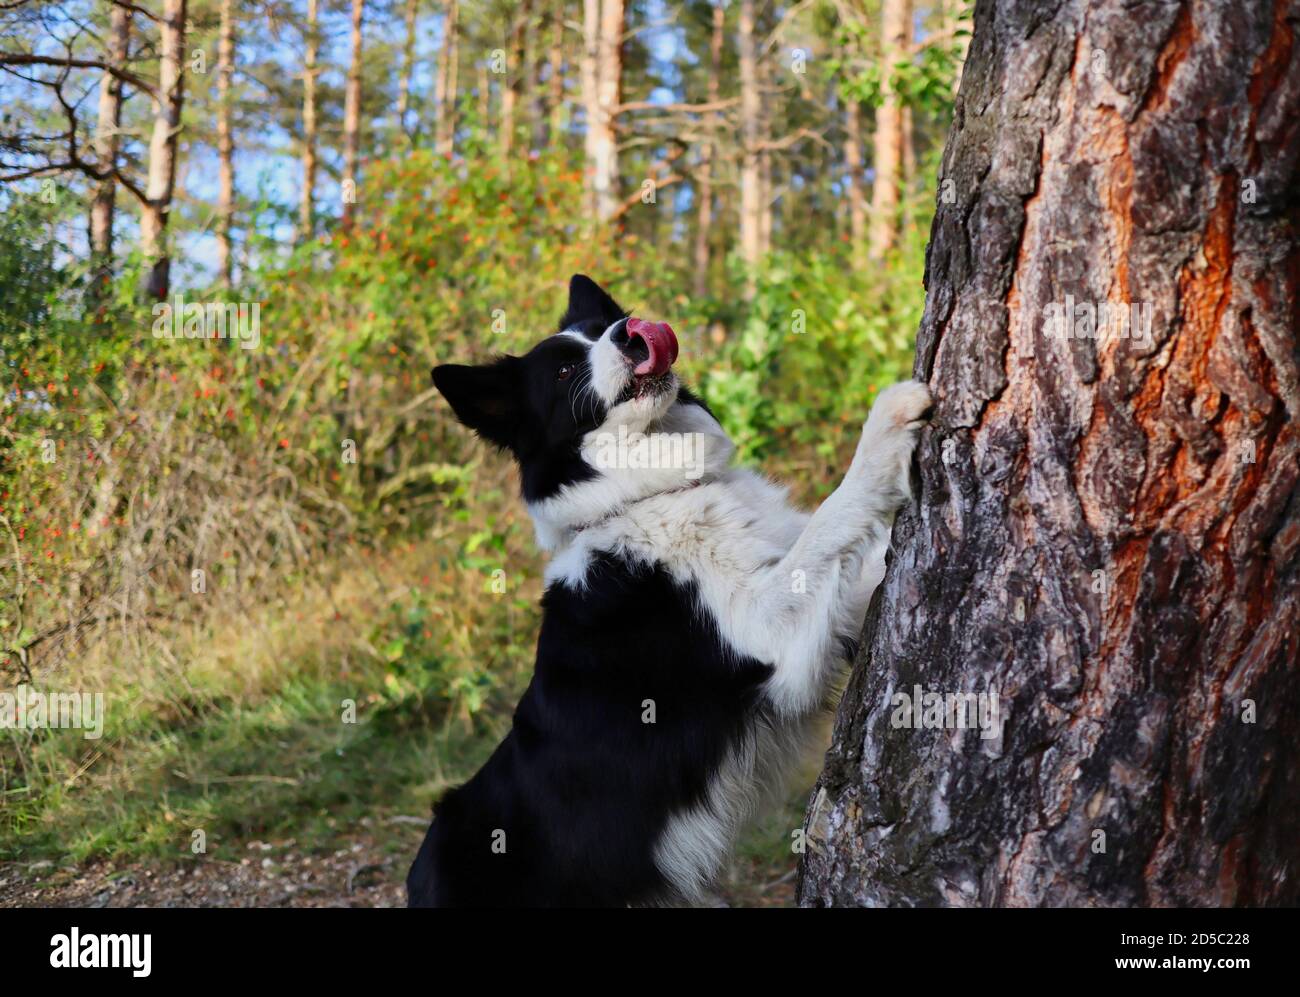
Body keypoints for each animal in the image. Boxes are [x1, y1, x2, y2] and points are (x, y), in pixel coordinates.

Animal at [405, 276, 925, 909]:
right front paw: (889, 417)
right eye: (563, 371)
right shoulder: (767, 627)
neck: (643, 499)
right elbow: (834, 513)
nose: (631, 332)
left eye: (603, 326)